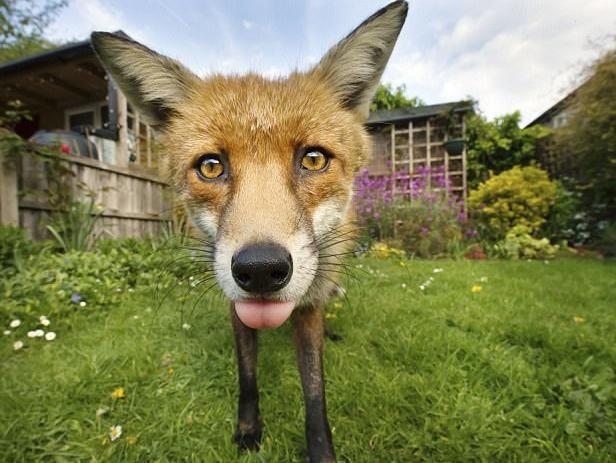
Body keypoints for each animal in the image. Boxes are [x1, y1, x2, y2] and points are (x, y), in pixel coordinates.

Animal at [90, 1, 410, 462]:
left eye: (313, 159)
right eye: (210, 166)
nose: (260, 269)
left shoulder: (308, 308)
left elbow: (315, 391)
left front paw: (320, 450)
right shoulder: (235, 305)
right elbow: (247, 375)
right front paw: (248, 429)